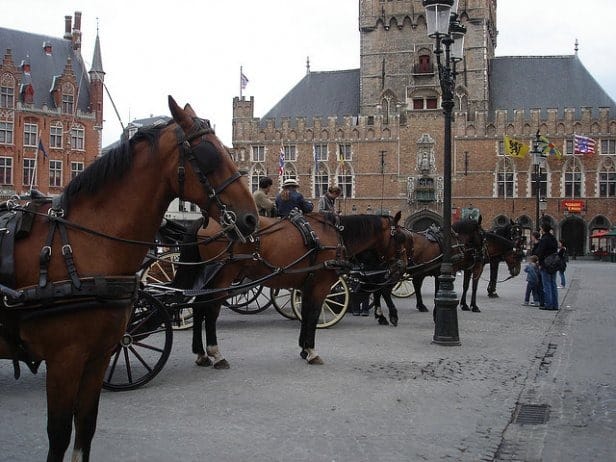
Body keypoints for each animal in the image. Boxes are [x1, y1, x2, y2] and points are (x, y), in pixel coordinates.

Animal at [0, 96, 256, 462]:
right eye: (209, 153)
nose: (251, 218)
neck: (82, 243)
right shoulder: (65, 359)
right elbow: (59, 434)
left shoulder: (96, 356)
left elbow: (86, 427)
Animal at [172, 213, 410, 368]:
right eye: (400, 237)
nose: (403, 266)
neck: (334, 236)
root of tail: (205, 220)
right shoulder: (321, 286)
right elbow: (313, 314)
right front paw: (312, 351)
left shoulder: (307, 285)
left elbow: (305, 314)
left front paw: (304, 349)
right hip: (222, 277)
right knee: (210, 311)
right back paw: (216, 354)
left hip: (206, 276)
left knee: (199, 307)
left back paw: (201, 354)